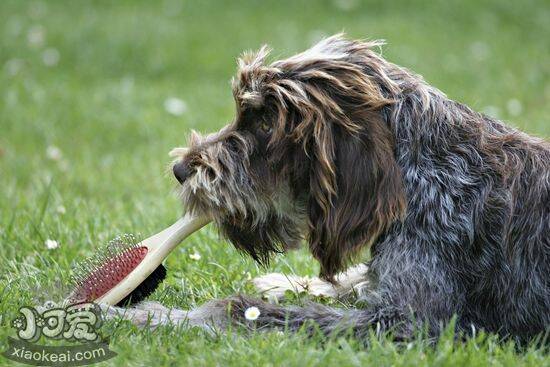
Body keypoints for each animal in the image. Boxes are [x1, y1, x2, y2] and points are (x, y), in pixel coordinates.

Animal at [105, 34, 548, 344]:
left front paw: (142, 316)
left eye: (264, 122)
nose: (180, 170)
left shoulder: (410, 322)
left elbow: (236, 312)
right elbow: (354, 280)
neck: (426, 166)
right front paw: (286, 283)